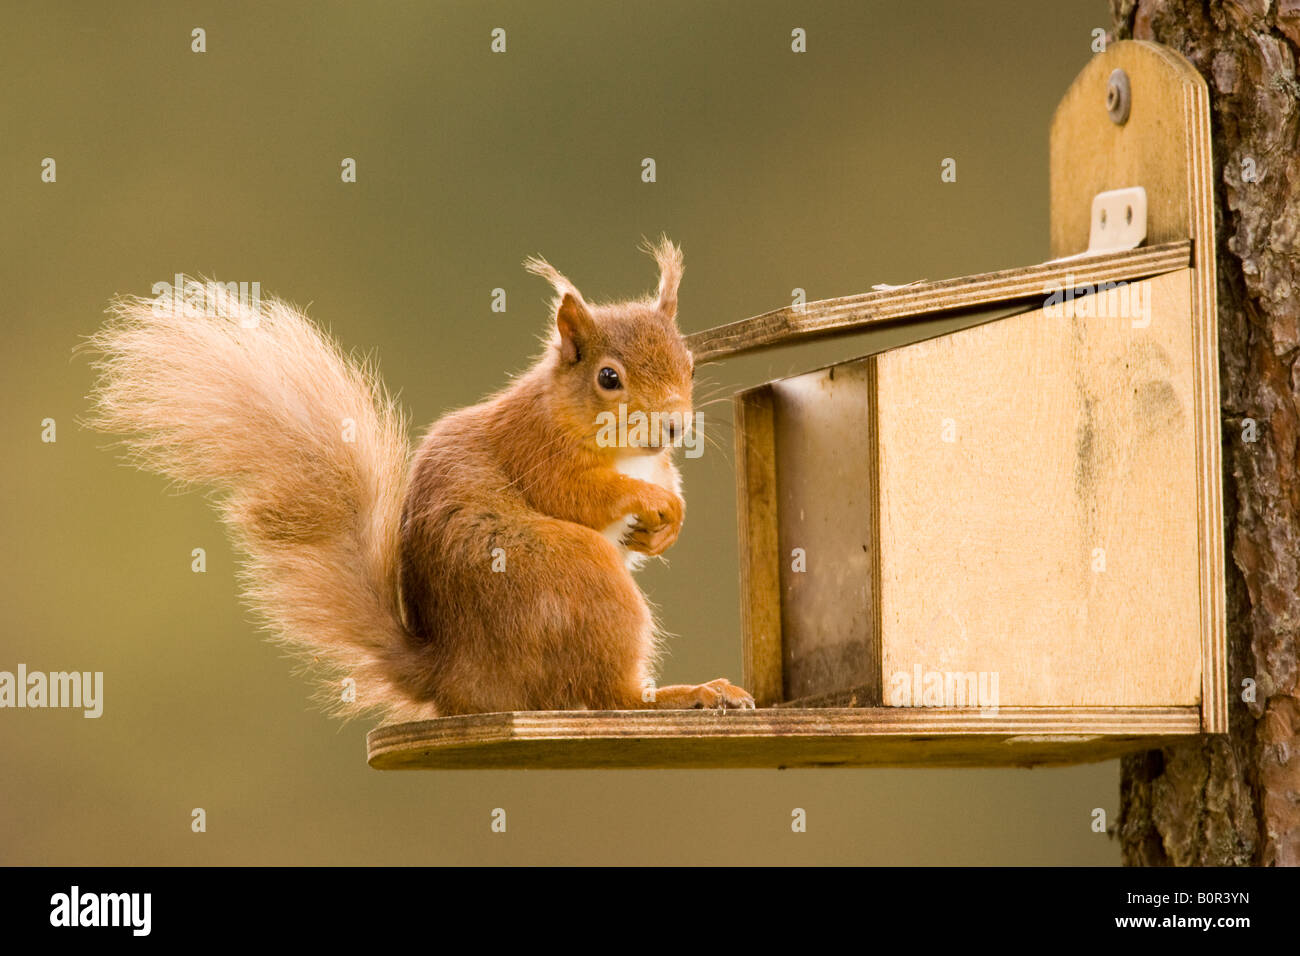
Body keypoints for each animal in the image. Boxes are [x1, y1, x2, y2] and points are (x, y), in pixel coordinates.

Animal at [89, 238, 754, 717]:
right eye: (609, 378)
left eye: (691, 365)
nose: (674, 428)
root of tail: (458, 682)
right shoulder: (537, 453)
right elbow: (580, 496)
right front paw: (653, 503)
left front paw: (664, 526)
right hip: (579, 579)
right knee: (603, 696)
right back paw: (686, 693)